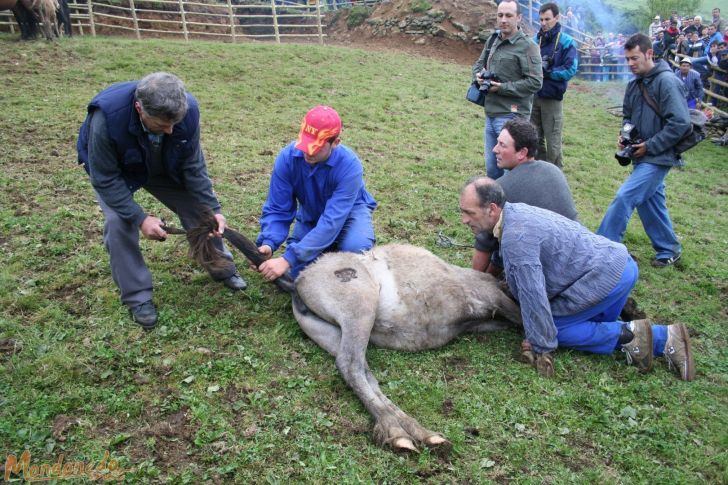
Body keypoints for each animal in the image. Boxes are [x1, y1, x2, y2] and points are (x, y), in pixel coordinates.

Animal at [185, 216, 520, 454]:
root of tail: (298, 282)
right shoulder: (491, 297)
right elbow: (518, 315)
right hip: (360, 309)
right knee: (350, 365)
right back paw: (400, 433)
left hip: (334, 332)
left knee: (360, 372)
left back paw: (414, 433)